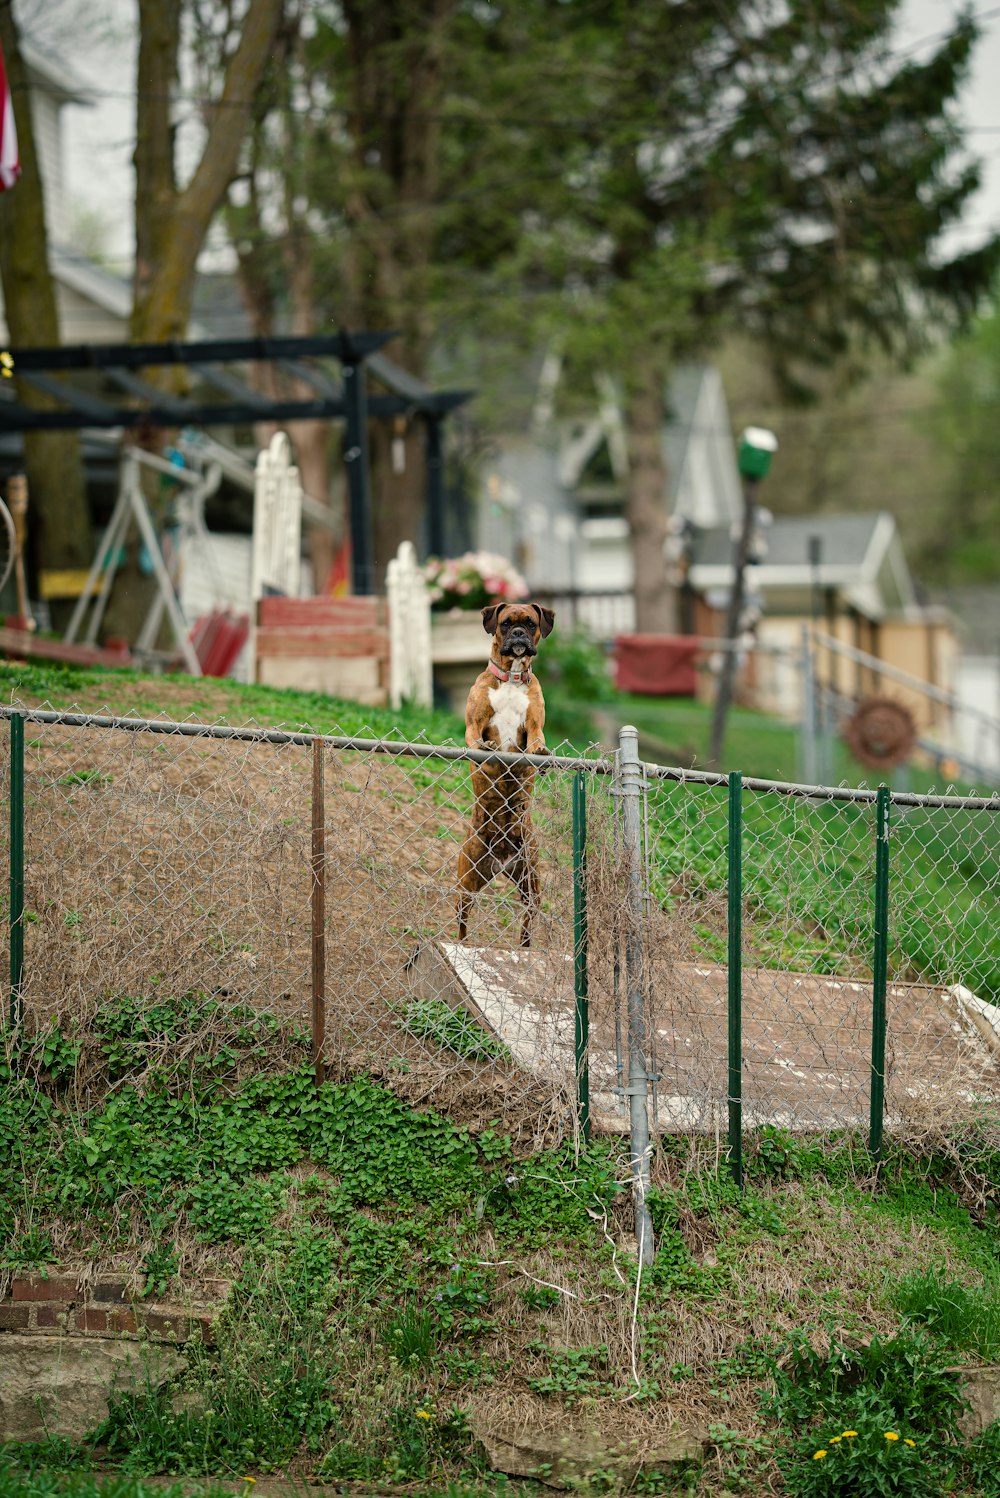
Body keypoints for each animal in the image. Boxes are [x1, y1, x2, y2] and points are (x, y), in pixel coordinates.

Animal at [458, 599, 553, 940]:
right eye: (505, 623)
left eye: (530, 623)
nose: (518, 634)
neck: (511, 678)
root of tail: (500, 861)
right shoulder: (474, 723)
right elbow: (475, 737)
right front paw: (483, 748)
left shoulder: (534, 724)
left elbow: (536, 740)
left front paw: (541, 753)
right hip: (466, 883)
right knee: (462, 923)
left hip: (531, 883)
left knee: (528, 919)